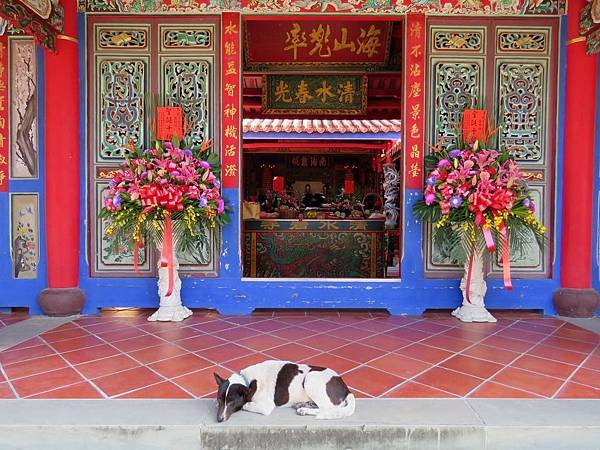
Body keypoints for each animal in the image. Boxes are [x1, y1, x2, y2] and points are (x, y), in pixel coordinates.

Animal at [216, 358, 356, 422]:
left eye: (232, 402)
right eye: (219, 400)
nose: (219, 419)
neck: (247, 381)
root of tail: (346, 389)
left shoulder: (266, 406)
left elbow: (246, 404)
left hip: (311, 378)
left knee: (327, 408)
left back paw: (304, 410)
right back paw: (304, 404)